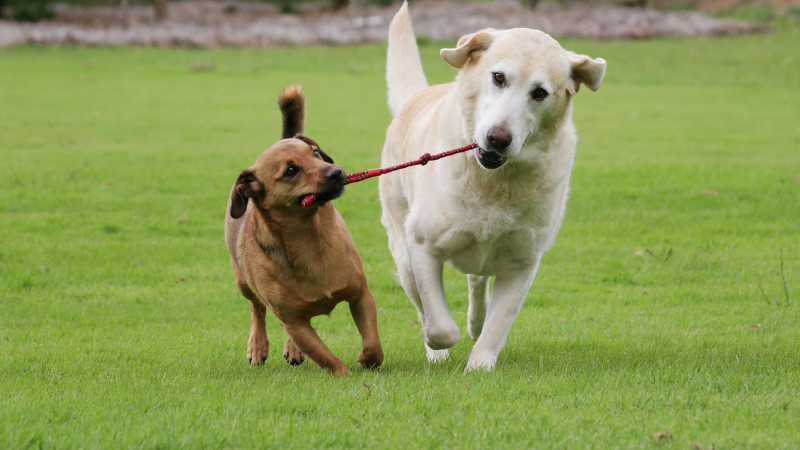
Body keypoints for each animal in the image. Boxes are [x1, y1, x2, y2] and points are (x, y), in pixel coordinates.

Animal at [225, 86, 384, 374]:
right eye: (290, 170)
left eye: (316, 154)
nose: (336, 173)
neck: (310, 238)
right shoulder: (294, 322)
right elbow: (326, 357)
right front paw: (346, 376)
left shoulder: (361, 296)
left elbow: (372, 341)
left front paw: (368, 360)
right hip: (243, 281)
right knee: (256, 309)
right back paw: (258, 346)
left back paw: (292, 350)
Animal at [382, 1, 608, 370]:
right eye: (498, 77)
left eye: (539, 93)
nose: (498, 139)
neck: (494, 184)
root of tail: (416, 97)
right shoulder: (422, 246)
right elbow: (440, 324)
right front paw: (437, 342)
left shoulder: (523, 263)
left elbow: (499, 322)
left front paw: (480, 365)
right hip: (402, 248)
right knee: (422, 299)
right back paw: (436, 351)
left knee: (477, 281)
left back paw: (476, 321)